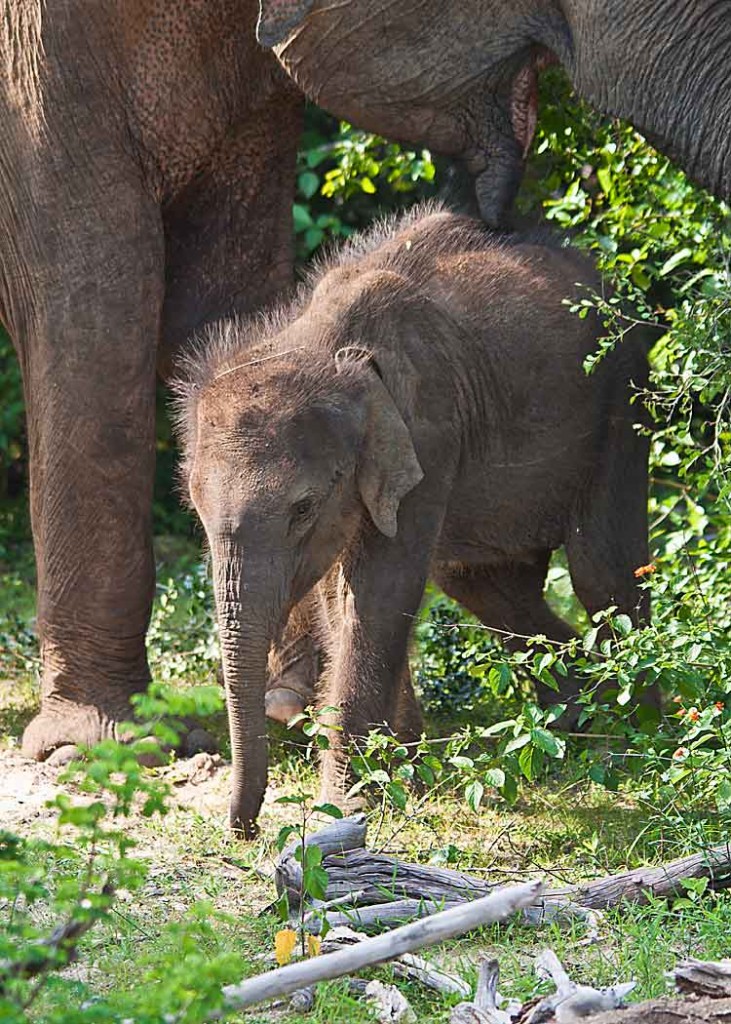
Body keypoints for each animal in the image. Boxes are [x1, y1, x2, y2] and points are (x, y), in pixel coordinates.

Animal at [176, 204, 655, 836]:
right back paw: (574, 725)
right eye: (198, 511)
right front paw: (399, 770)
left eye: (302, 508)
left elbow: (377, 591)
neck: (319, 344)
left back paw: (635, 731)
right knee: (481, 583)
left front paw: (345, 804)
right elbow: (339, 596)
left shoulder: (429, 435)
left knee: (601, 572)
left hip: (623, 397)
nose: (245, 829)